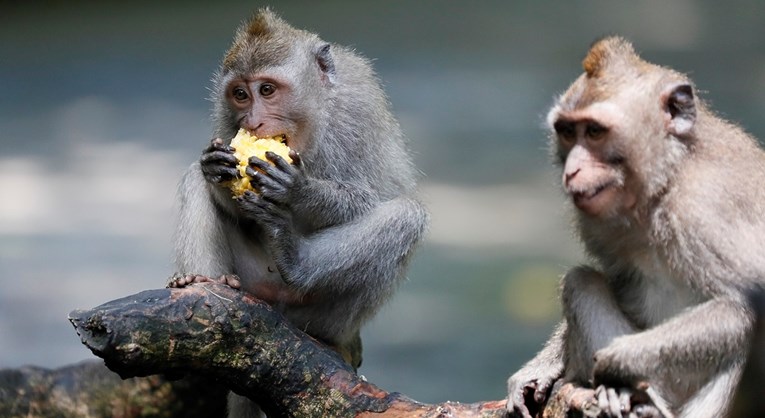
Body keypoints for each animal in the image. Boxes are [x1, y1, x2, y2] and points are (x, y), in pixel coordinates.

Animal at [169, 9, 430, 418]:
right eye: (240, 95)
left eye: (267, 91)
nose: (253, 122)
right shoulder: (225, 119)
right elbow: (215, 182)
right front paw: (215, 168)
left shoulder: (356, 114)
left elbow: (372, 198)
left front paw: (297, 189)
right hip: (252, 280)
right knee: (193, 180)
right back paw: (203, 283)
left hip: (319, 316)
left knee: (406, 216)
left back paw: (295, 262)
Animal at [508, 36, 764, 418]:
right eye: (568, 132)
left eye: (595, 132)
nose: (572, 170)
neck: (665, 181)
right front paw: (542, 367)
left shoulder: (708, 209)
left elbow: (744, 304)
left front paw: (615, 358)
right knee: (580, 281)